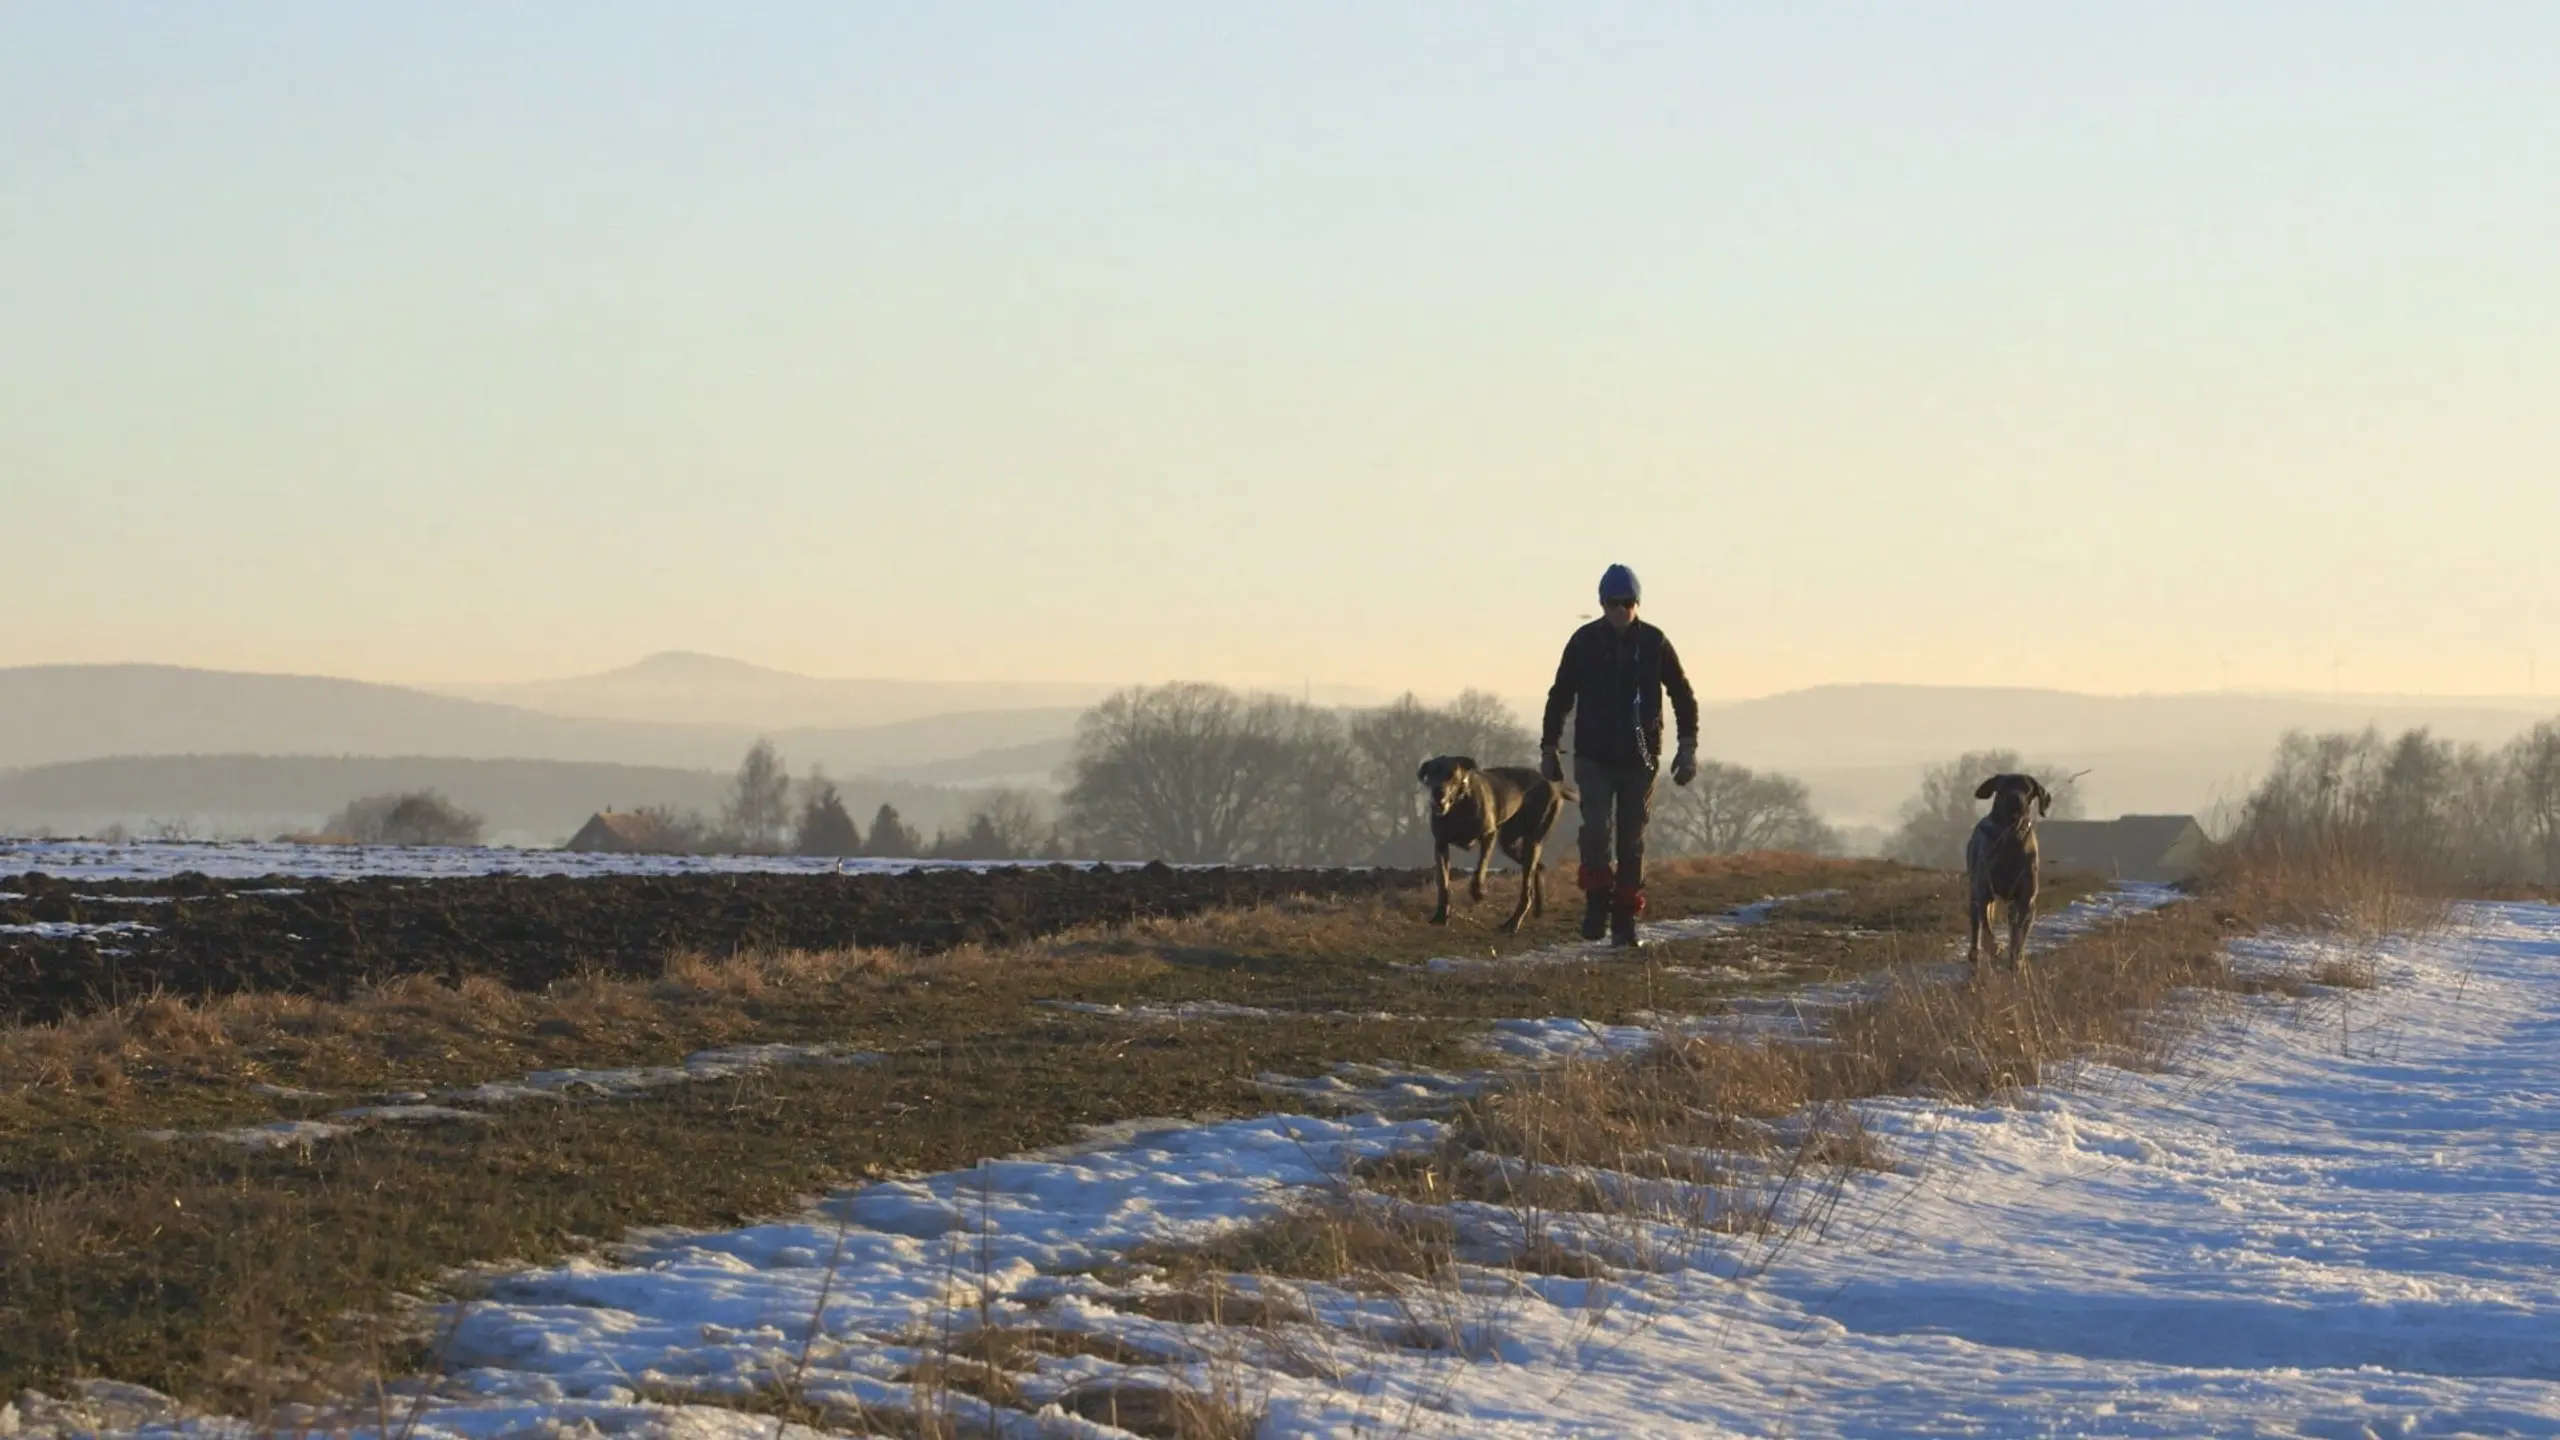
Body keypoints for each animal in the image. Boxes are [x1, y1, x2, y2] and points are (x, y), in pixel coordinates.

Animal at [1413, 753, 1566, 932]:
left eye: (1451, 774)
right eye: (1432, 773)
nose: (1438, 792)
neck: (1459, 805)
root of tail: (1551, 784)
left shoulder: (1489, 835)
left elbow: (1481, 866)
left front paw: (1478, 892)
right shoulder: (1441, 844)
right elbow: (1443, 882)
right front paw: (1440, 916)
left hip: (1531, 839)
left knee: (1526, 888)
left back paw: (1513, 923)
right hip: (1509, 842)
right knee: (1538, 867)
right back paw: (1538, 908)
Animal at [1955, 773, 2058, 963]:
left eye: (2027, 788)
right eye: (2003, 786)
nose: (2015, 798)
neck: (2011, 837)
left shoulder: (2026, 899)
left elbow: (2019, 934)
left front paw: (2017, 958)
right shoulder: (1985, 892)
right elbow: (1987, 926)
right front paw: (1994, 947)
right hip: (1975, 890)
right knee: (1976, 922)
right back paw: (1975, 951)